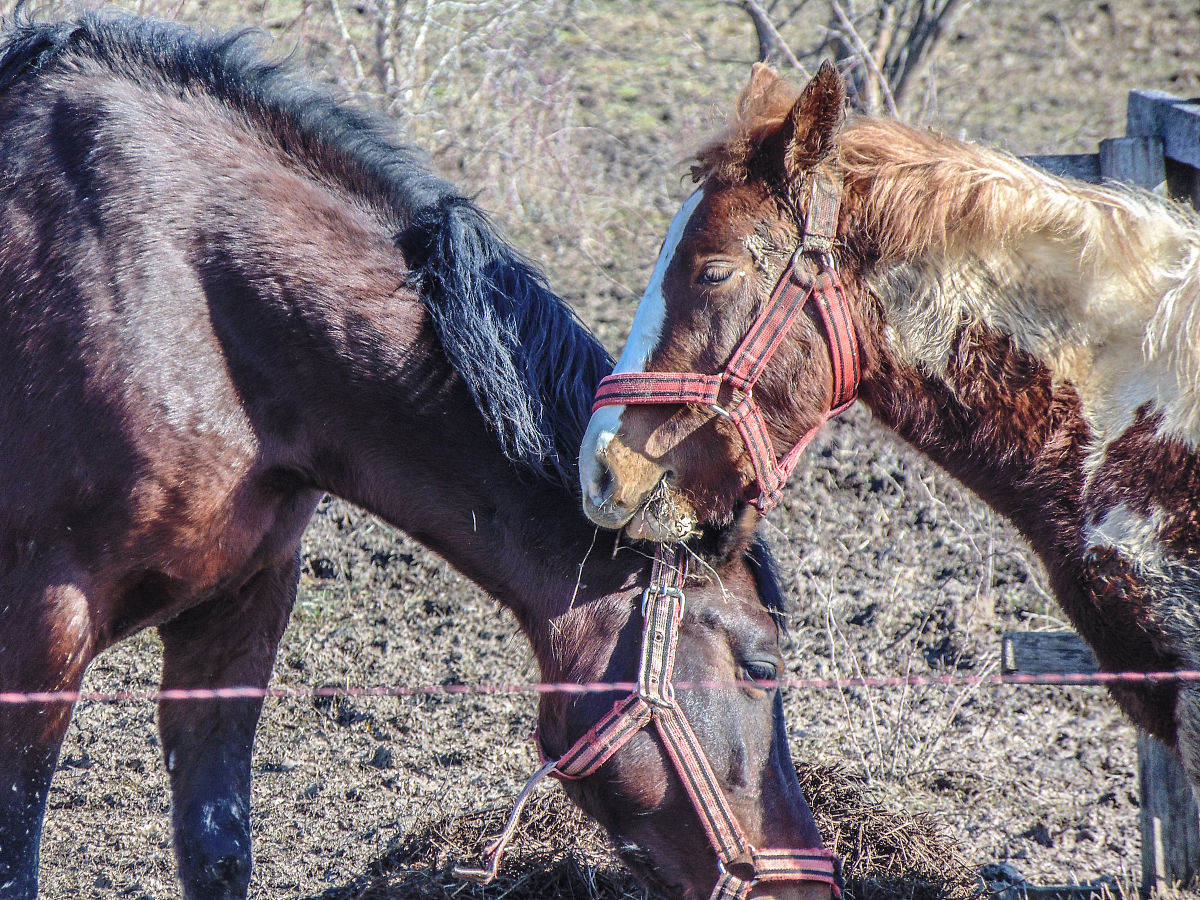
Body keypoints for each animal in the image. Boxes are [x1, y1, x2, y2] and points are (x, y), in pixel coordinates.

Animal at [0, 16, 840, 900]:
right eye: (761, 667)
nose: (806, 878)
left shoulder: (237, 612)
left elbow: (218, 847)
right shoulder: (42, 622)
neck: (181, 291)